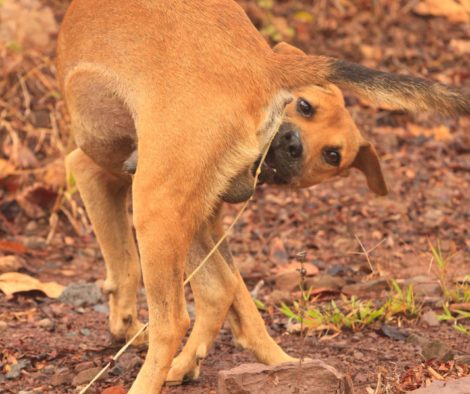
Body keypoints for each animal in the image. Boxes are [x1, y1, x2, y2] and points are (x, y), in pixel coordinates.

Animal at [56, 1, 470, 392]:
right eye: (305, 106)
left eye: (332, 155)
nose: (293, 146)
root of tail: (265, 66)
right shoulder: (207, 218)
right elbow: (237, 296)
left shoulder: (91, 173)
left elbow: (123, 262)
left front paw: (124, 323)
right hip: (179, 216)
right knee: (216, 291)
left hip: (155, 208)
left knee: (175, 319)